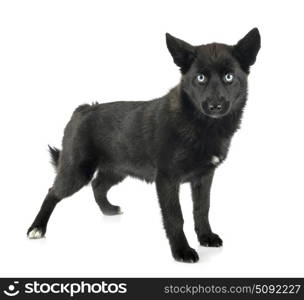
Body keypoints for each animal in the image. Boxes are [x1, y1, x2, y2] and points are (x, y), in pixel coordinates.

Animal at [28, 28, 260, 262]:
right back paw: (37, 228)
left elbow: (202, 209)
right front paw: (182, 251)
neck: (201, 125)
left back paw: (108, 210)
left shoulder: (204, 177)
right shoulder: (167, 180)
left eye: (229, 77)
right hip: (77, 171)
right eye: (200, 78)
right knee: (53, 192)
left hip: (116, 170)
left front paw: (206, 237)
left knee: (97, 185)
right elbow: (175, 217)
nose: (215, 106)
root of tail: (82, 110)